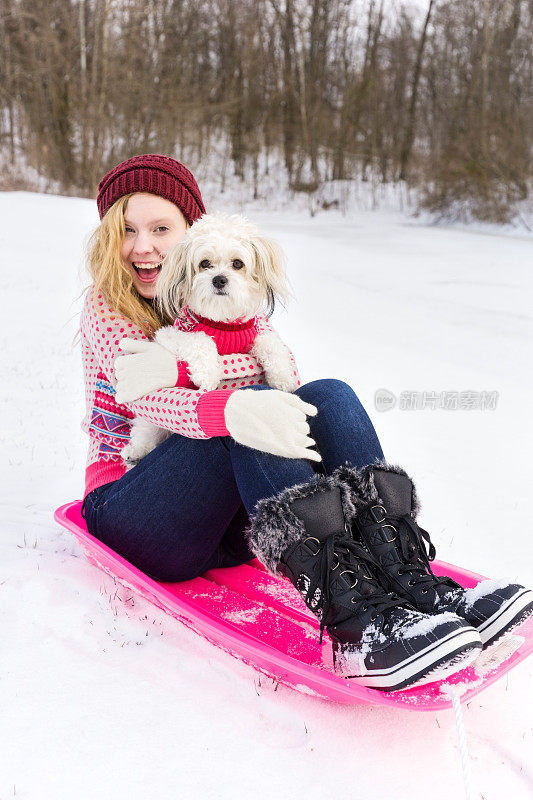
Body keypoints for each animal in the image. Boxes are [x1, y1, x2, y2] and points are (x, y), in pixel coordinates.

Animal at [121, 212, 300, 468]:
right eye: (205, 263)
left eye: (238, 263)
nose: (219, 279)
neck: (222, 322)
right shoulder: (169, 335)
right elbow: (200, 340)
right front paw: (207, 374)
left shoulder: (251, 332)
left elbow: (270, 343)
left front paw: (283, 376)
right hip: (149, 427)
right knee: (145, 430)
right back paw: (136, 451)